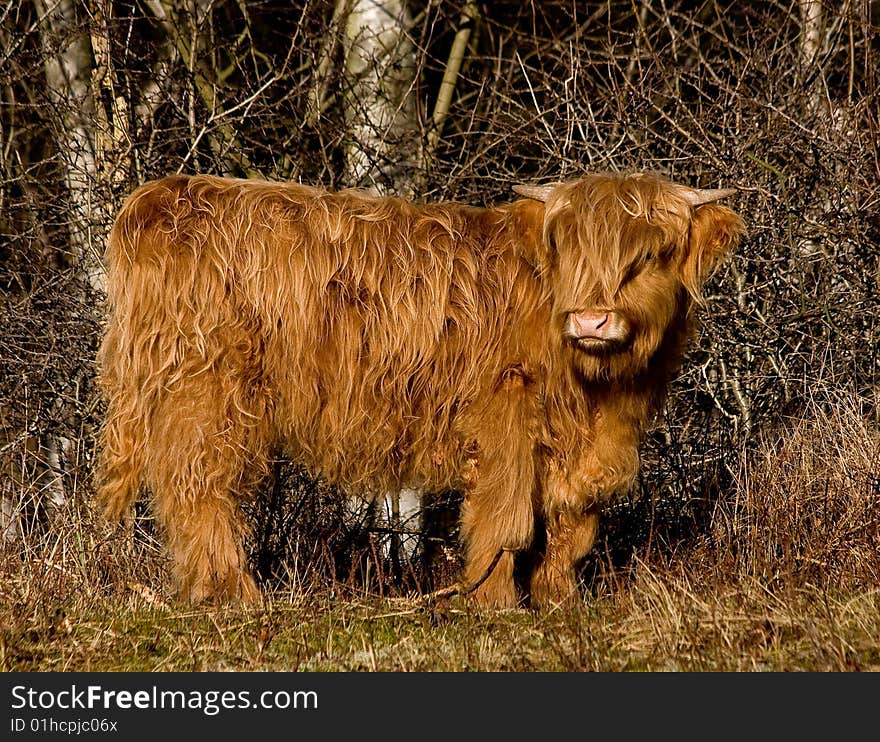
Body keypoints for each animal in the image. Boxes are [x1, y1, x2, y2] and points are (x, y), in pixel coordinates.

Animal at [96, 174, 744, 612]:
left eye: (650, 255)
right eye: (566, 252)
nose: (590, 319)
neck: (598, 390)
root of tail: (163, 197)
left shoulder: (588, 448)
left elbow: (573, 523)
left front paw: (559, 599)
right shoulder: (504, 415)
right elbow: (507, 517)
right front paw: (493, 603)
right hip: (205, 391)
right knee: (198, 485)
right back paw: (231, 593)